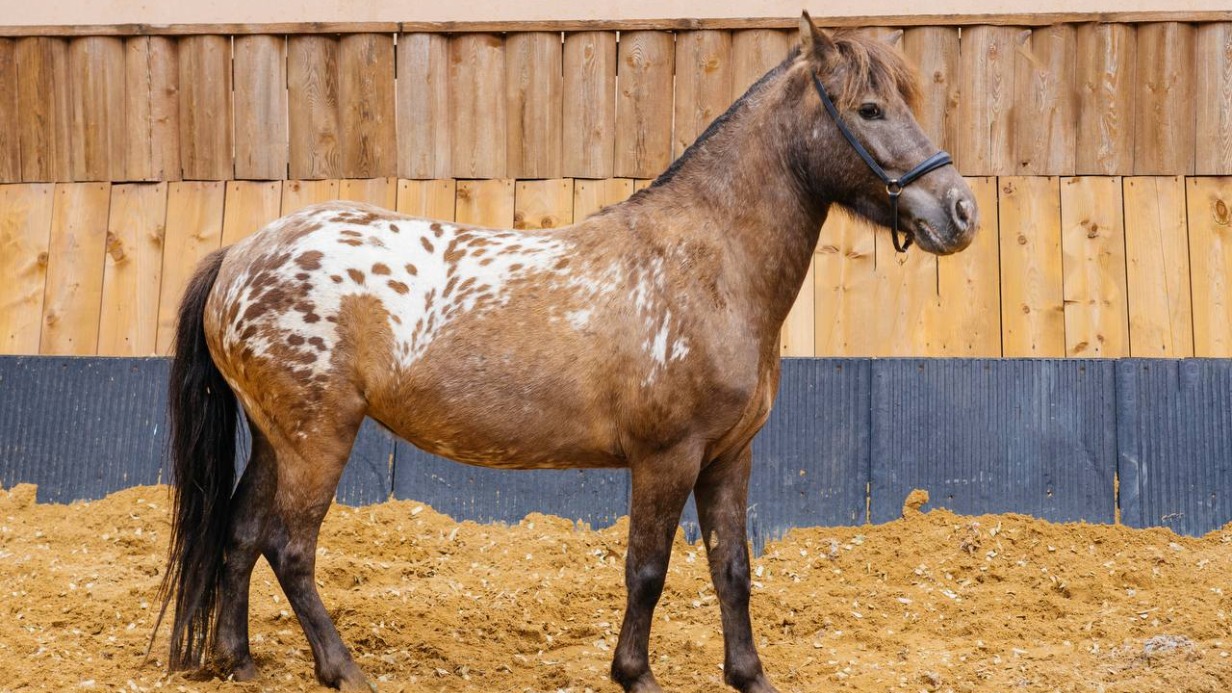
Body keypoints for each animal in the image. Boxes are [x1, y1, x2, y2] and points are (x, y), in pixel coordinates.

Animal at [156, 14, 980, 690]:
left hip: (277, 438)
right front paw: (635, 675)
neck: (706, 262)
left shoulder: (728, 455)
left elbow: (732, 569)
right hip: (318, 437)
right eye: (870, 109)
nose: (961, 211)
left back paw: (238, 659)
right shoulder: (667, 456)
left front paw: (749, 676)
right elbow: (647, 569)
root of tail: (240, 255)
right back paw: (343, 670)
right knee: (289, 546)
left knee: (240, 533)